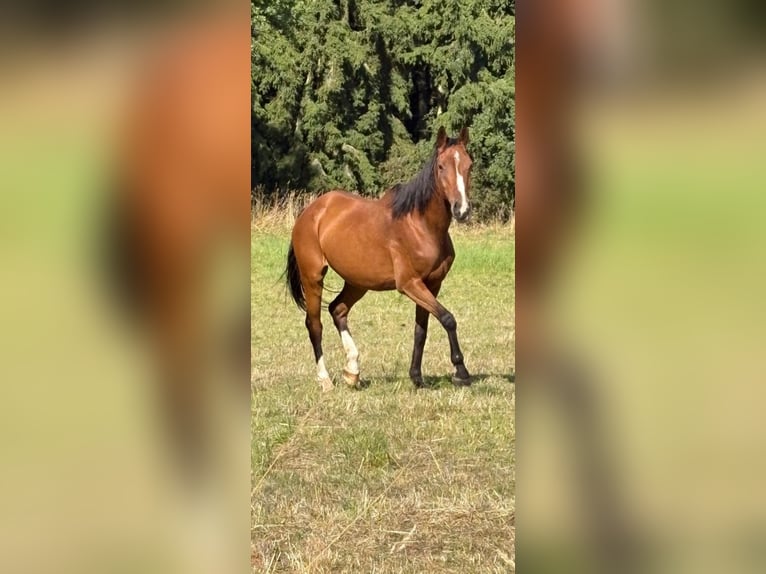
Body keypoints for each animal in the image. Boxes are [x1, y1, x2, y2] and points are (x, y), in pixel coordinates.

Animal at [284, 126, 473, 391]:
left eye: (469, 165)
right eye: (441, 166)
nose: (462, 210)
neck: (420, 225)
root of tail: (310, 211)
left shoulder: (432, 284)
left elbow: (421, 330)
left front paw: (417, 377)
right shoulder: (409, 284)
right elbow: (448, 319)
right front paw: (461, 371)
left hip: (357, 282)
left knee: (337, 310)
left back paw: (352, 371)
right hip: (313, 277)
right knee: (314, 323)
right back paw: (325, 380)